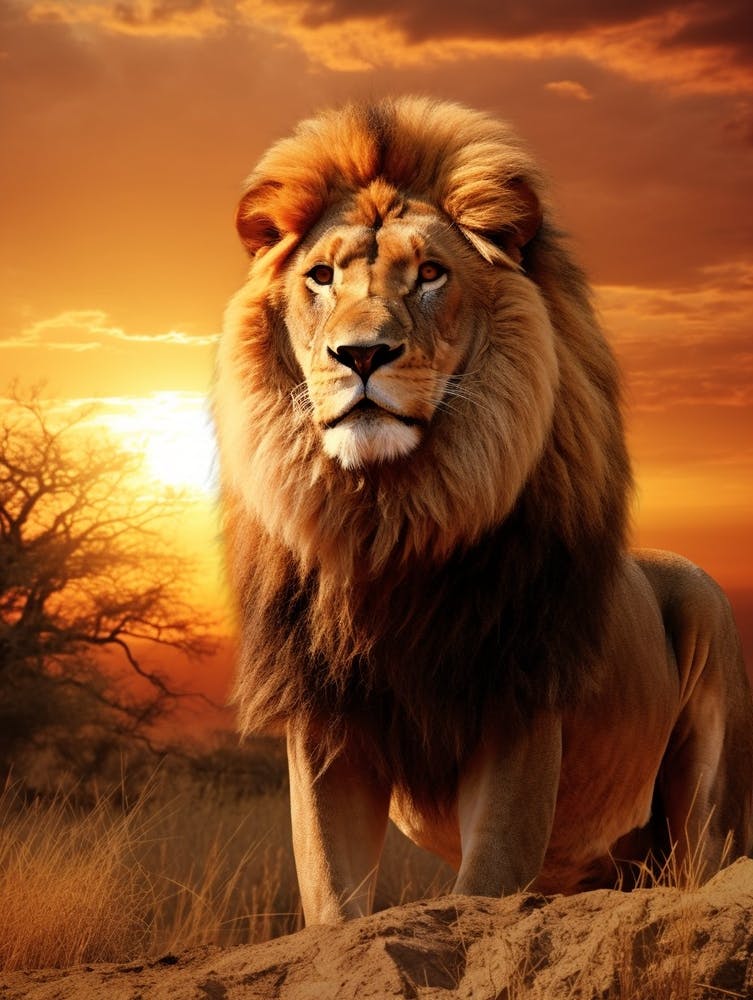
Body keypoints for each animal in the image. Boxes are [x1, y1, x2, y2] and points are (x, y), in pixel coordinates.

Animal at [214, 96, 753, 925]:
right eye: (321, 277)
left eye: (430, 274)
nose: (360, 355)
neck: (389, 521)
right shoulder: (325, 726)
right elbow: (334, 899)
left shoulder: (518, 705)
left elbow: (485, 879)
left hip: (704, 732)